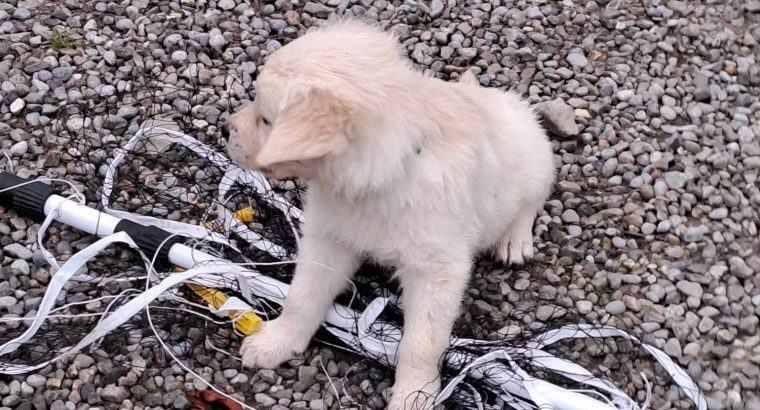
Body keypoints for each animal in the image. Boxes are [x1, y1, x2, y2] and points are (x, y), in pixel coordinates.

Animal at [224, 17, 552, 408]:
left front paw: (414, 394)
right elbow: (302, 297)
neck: (382, 181)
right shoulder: (329, 238)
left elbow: (421, 342)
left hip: (533, 156)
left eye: (266, 120)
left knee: (532, 199)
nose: (226, 128)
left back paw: (515, 240)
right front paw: (276, 342)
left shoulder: (437, 271)